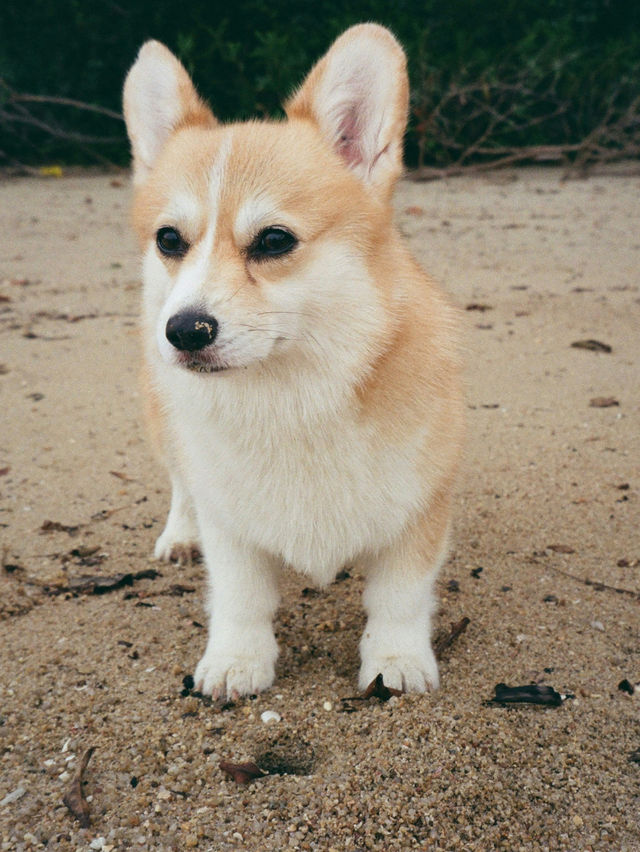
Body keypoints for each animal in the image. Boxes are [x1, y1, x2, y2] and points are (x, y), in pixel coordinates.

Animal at [124, 23, 464, 700]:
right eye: (170, 239)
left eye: (274, 240)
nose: (184, 331)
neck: (290, 395)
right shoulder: (230, 522)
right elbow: (239, 596)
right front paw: (236, 661)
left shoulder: (420, 507)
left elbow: (400, 597)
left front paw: (396, 661)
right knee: (180, 482)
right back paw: (179, 536)